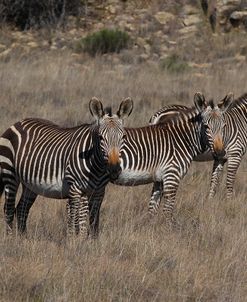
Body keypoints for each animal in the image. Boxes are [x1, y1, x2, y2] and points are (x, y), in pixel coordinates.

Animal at [0, 96, 133, 236]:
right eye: (101, 137)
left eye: (124, 136)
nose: (114, 169)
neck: (97, 168)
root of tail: (17, 123)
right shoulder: (75, 189)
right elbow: (74, 218)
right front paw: (73, 240)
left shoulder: (98, 192)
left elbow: (92, 220)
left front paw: (90, 240)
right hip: (10, 174)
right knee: (8, 209)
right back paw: (10, 238)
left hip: (30, 184)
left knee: (21, 209)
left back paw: (22, 238)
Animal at [88, 92, 229, 229]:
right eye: (206, 126)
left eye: (224, 126)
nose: (220, 153)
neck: (179, 139)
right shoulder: (172, 175)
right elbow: (168, 210)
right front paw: (169, 233)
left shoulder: (159, 179)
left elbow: (152, 208)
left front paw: (150, 230)